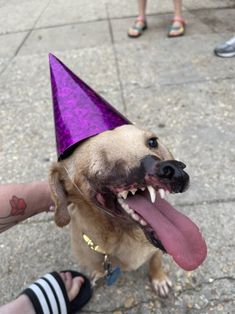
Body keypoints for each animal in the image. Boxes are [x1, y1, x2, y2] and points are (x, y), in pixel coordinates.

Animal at [48, 123, 207, 296]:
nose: (172, 170)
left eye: (153, 142)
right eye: (102, 159)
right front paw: (97, 273)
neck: (127, 237)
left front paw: (159, 278)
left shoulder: (155, 252)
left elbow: (156, 262)